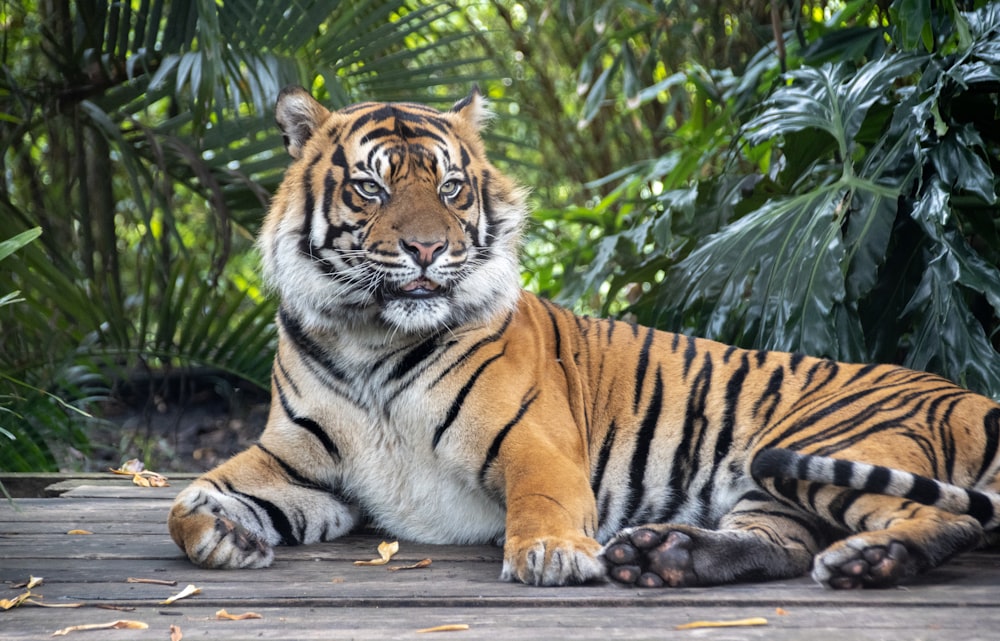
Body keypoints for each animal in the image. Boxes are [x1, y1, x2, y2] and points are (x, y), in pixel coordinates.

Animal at [168, 86, 996, 592]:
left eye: (450, 188)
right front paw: (224, 535)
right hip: (772, 482)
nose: (429, 250)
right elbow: (184, 499)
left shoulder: (533, 437)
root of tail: (970, 394)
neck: (369, 341)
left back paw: (870, 557)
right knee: (784, 543)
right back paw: (670, 554)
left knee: (954, 518)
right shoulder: (296, 459)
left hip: (819, 444)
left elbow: (541, 496)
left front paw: (554, 554)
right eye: (371, 188)